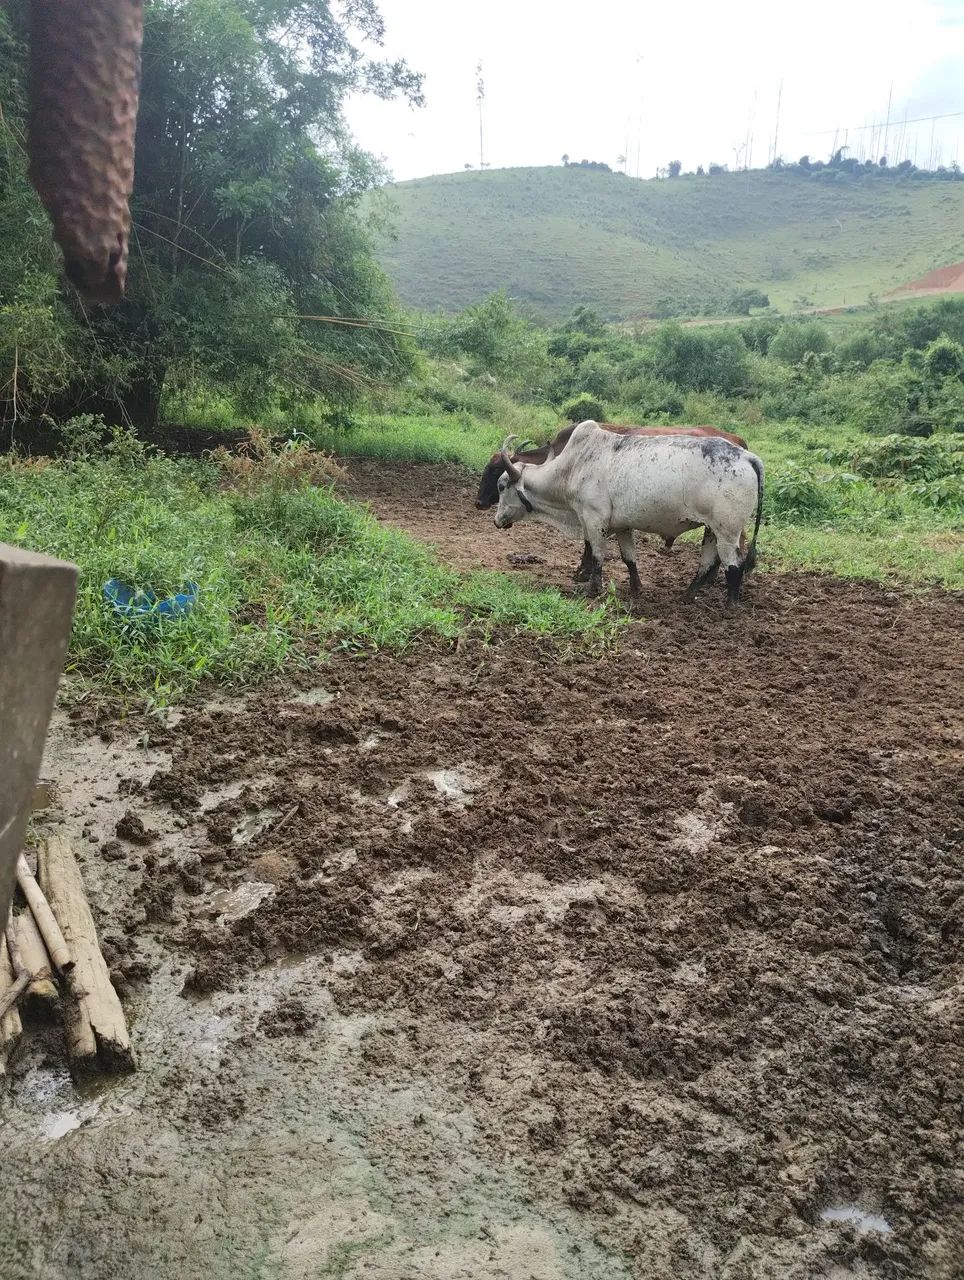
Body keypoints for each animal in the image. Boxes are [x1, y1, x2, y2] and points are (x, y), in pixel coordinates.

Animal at [493, 421, 764, 609]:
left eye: (501, 485)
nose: (496, 521)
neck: (573, 466)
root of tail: (748, 457)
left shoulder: (594, 520)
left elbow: (597, 556)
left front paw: (593, 588)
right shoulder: (623, 526)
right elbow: (628, 558)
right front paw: (636, 588)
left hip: (727, 531)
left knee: (734, 565)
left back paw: (730, 605)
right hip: (711, 529)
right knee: (707, 562)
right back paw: (687, 595)